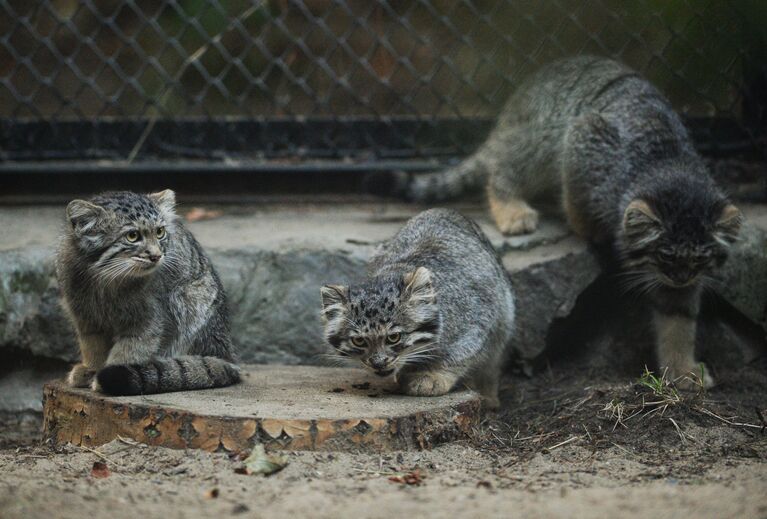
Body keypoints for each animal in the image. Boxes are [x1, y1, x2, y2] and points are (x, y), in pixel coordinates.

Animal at [56, 191, 240, 398]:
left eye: (160, 232)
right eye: (132, 236)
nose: (156, 256)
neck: (104, 278)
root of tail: (228, 356)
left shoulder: (147, 322)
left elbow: (128, 351)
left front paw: (105, 375)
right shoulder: (85, 318)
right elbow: (92, 347)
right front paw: (91, 369)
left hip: (191, 299)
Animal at [318, 209, 516, 408]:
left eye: (394, 337)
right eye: (358, 341)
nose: (379, 363)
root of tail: (443, 210)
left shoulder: (478, 321)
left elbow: (461, 354)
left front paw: (432, 375)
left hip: (504, 317)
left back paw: (489, 397)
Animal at [388, 58, 740, 390]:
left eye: (699, 259)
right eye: (665, 255)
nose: (680, 278)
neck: (666, 160)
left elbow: (678, 315)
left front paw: (683, 370)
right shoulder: (585, 143)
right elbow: (575, 197)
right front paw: (590, 229)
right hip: (541, 132)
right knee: (505, 168)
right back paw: (511, 208)